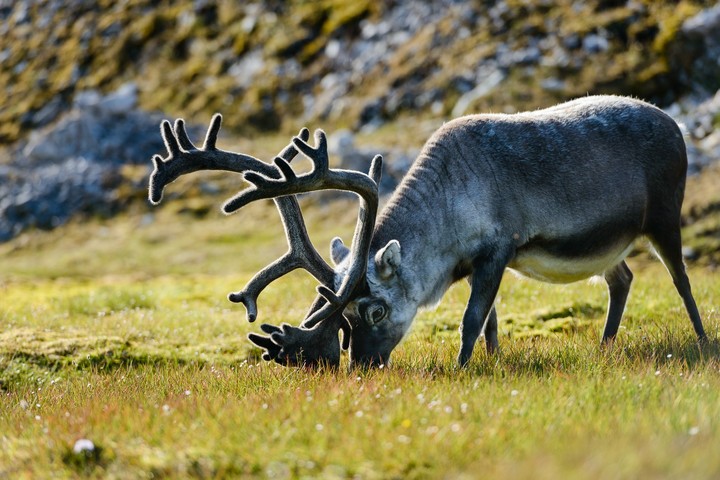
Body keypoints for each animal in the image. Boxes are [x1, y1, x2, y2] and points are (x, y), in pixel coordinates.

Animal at [148, 95, 707, 368]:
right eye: (340, 314)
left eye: (374, 309)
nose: (363, 365)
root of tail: (676, 126)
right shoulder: (477, 262)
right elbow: (492, 322)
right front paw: (493, 361)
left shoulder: (497, 248)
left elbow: (472, 319)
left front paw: (462, 369)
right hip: (611, 244)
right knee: (622, 279)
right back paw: (606, 347)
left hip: (664, 216)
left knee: (681, 280)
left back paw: (702, 343)